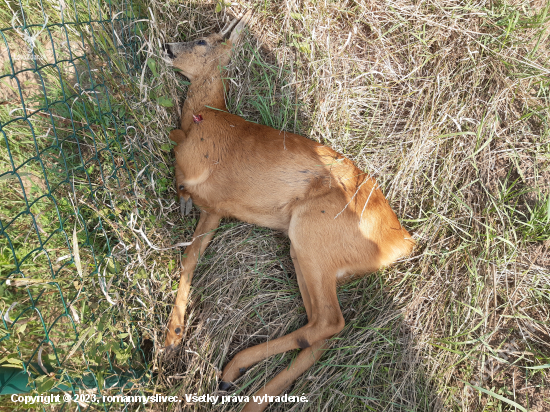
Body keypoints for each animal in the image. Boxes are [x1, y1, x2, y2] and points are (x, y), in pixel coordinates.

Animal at [163, 11, 414, 410]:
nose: (167, 46)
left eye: (203, 41)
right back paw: (248, 392)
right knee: (320, 334)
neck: (205, 116)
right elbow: (190, 259)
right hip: (309, 255)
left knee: (330, 323)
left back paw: (234, 369)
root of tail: (402, 241)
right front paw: (172, 337)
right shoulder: (215, 210)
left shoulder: (196, 165)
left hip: (313, 233)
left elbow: (172, 148)